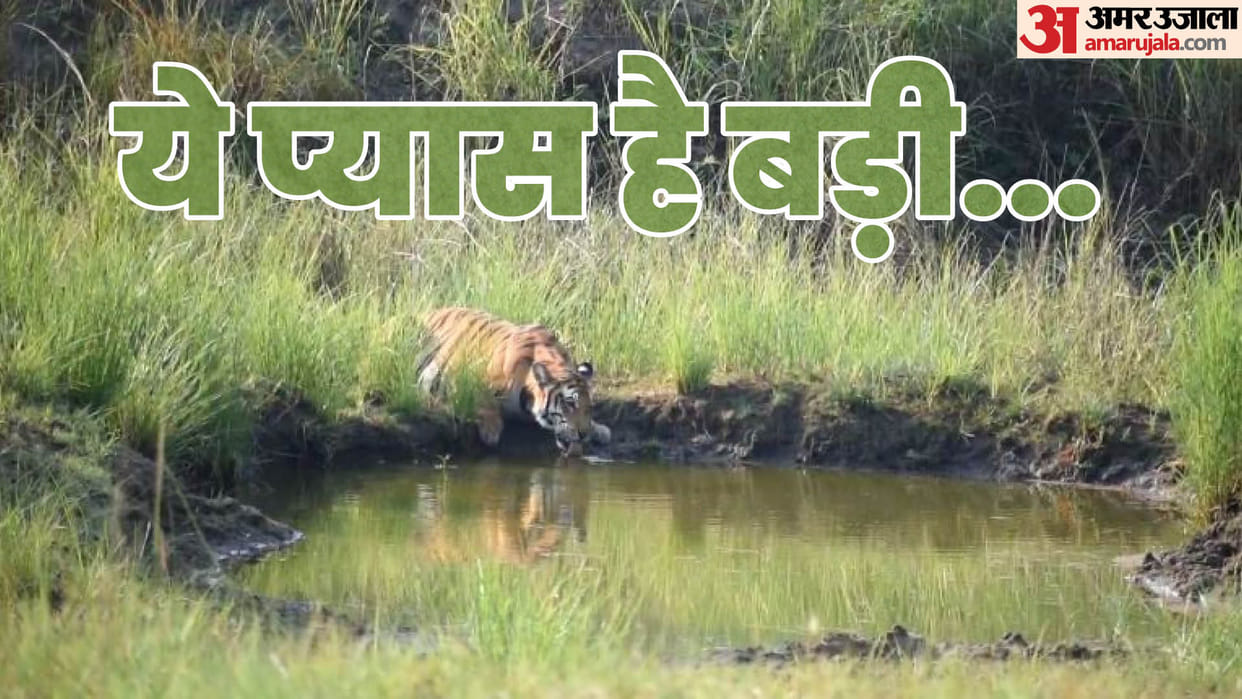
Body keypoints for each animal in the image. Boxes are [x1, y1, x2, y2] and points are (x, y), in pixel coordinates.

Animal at [416, 306, 611, 456]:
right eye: (570, 403)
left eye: (589, 408)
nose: (583, 434)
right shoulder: (466, 376)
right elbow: (484, 399)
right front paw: (491, 430)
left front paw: (600, 429)